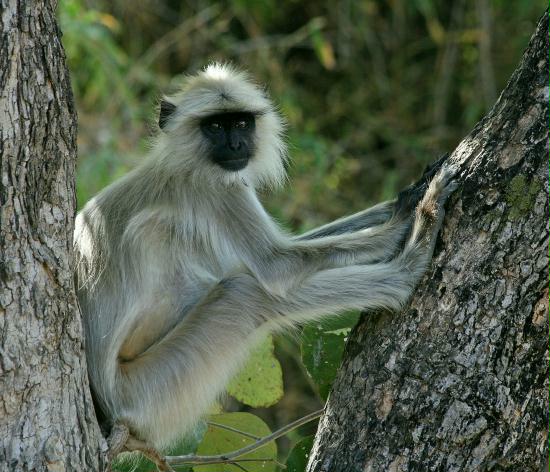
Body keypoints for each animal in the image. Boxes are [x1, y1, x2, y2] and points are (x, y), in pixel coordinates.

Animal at [75, 62, 460, 450]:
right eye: (216, 126)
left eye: (242, 123)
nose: (236, 144)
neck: (180, 163)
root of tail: (110, 411)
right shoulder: (220, 190)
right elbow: (277, 268)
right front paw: (411, 216)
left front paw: (405, 196)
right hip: (151, 390)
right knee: (245, 291)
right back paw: (409, 267)